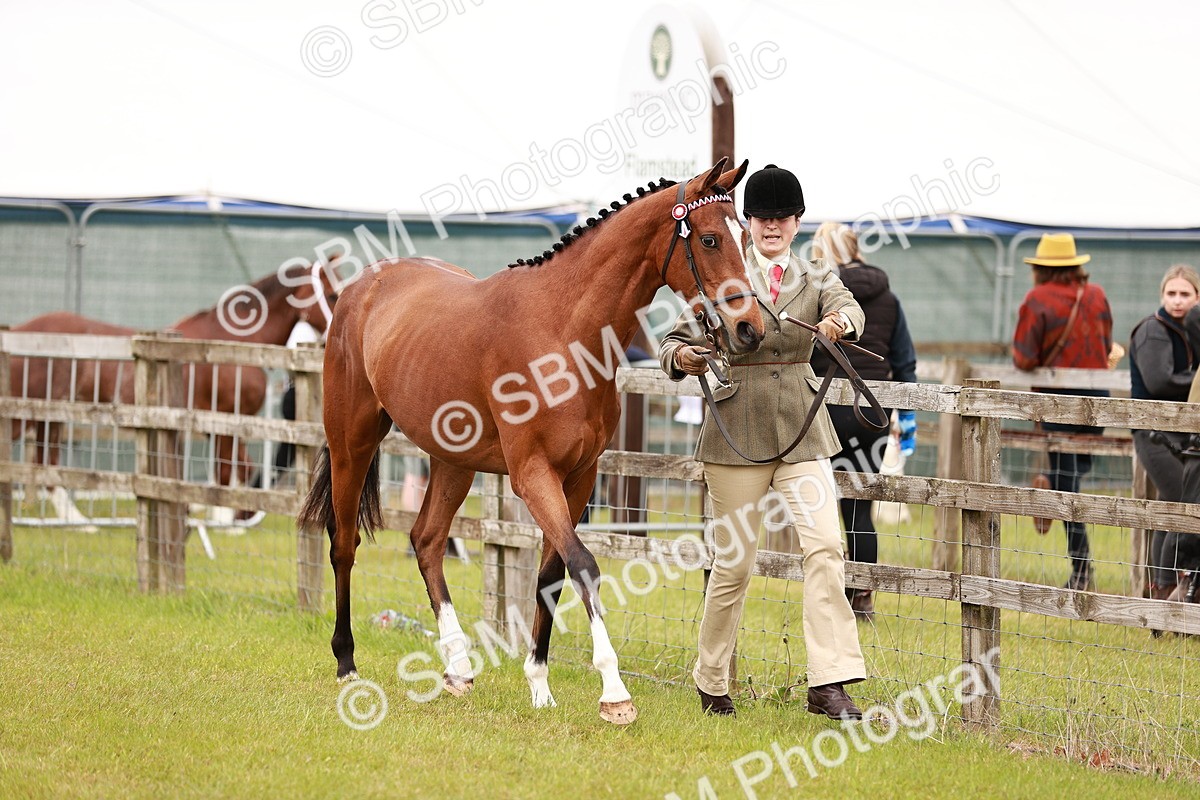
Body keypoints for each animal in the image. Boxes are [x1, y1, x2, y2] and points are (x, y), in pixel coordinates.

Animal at [9, 262, 339, 500]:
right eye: (332, 294)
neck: (234, 340)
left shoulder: (218, 426)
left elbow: (238, 470)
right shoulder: (225, 420)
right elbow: (227, 474)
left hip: (48, 416)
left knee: (47, 466)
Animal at [297, 159, 765, 725]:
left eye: (746, 236)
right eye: (711, 239)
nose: (751, 329)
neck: (563, 332)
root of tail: (361, 285)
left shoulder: (578, 478)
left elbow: (553, 574)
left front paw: (540, 685)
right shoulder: (532, 474)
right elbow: (584, 567)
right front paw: (614, 693)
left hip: (453, 461)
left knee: (427, 540)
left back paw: (457, 666)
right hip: (352, 442)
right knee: (344, 544)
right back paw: (346, 662)